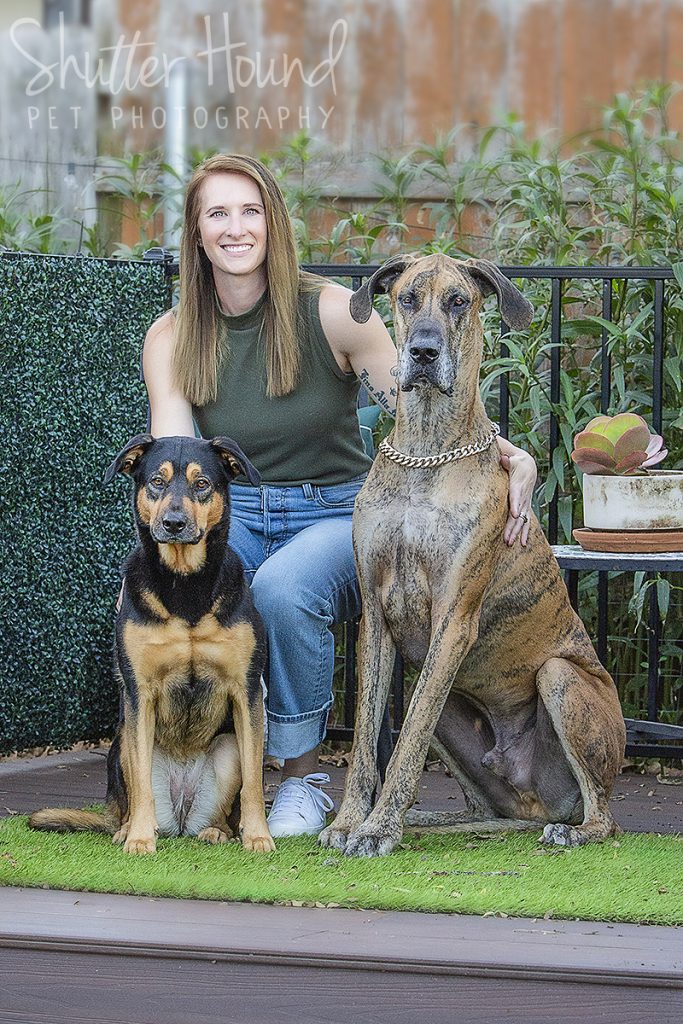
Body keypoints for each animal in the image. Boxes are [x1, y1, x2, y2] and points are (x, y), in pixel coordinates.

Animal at [30, 434, 275, 855]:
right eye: (156, 482)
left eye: (201, 483)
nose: (173, 523)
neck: (184, 584)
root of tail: (180, 817)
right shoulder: (139, 695)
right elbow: (142, 782)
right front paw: (140, 839)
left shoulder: (246, 692)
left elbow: (254, 784)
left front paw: (258, 835)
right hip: (120, 743)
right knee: (130, 797)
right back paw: (128, 828)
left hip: (227, 749)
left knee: (221, 805)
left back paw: (217, 832)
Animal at [320, 254, 626, 857]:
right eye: (408, 298)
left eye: (458, 301)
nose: (423, 351)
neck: (425, 449)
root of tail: (536, 799)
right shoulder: (374, 617)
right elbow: (366, 738)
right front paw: (349, 821)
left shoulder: (454, 618)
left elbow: (406, 743)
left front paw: (376, 830)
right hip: (453, 721)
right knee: (484, 808)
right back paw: (434, 820)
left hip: (560, 679)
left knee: (604, 815)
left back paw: (574, 830)